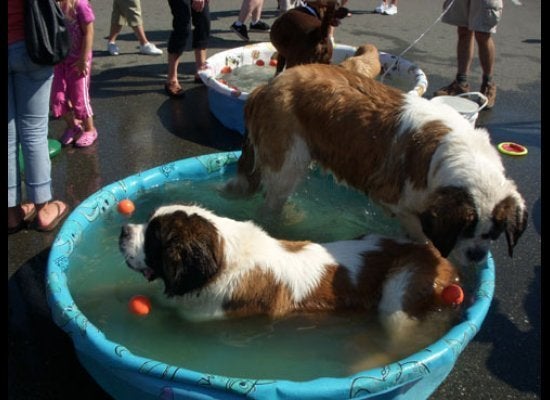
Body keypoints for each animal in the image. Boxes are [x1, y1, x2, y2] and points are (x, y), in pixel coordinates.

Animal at [225, 63, 532, 268]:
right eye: (464, 230)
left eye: (494, 234)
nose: (477, 256)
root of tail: (268, 85)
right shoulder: (399, 202)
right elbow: (422, 235)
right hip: (288, 160)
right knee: (272, 200)